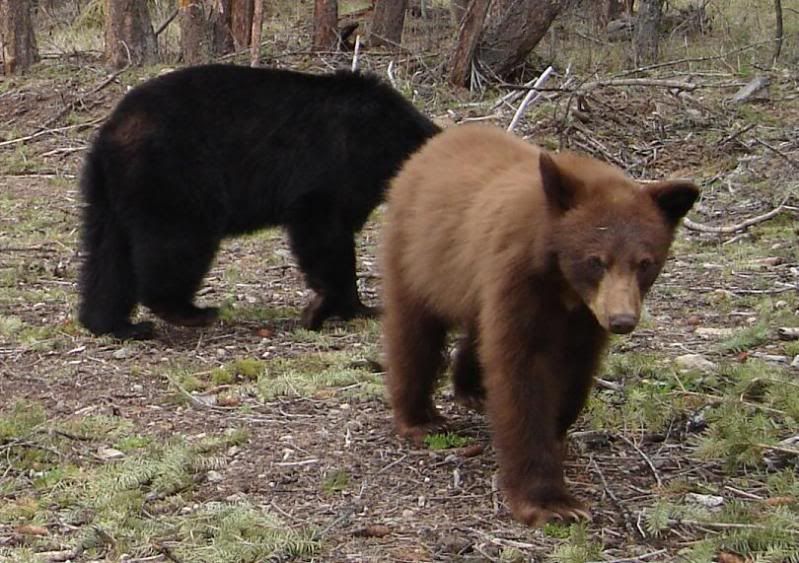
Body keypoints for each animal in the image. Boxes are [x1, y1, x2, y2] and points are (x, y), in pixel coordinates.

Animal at [78, 64, 439, 340]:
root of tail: (111, 131)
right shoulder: (338, 164)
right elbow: (323, 229)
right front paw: (330, 307)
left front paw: (354, 306)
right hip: (175, 175)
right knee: (177, 239)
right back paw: (189, 310)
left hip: (108, 192)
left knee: (108, 253)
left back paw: (114, 324)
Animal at [381, 123, 698, 526]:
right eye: (596, 260)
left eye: (645, 263)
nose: (622, 320)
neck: (562, 283)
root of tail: (435, 143)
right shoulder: (518, 279)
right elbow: (522, 374)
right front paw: (551, 501)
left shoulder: (584, 317)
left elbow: (575, 370)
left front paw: (558, 430)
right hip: (418, 256)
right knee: (414, 333)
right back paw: (421, 419)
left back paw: (473, 388)